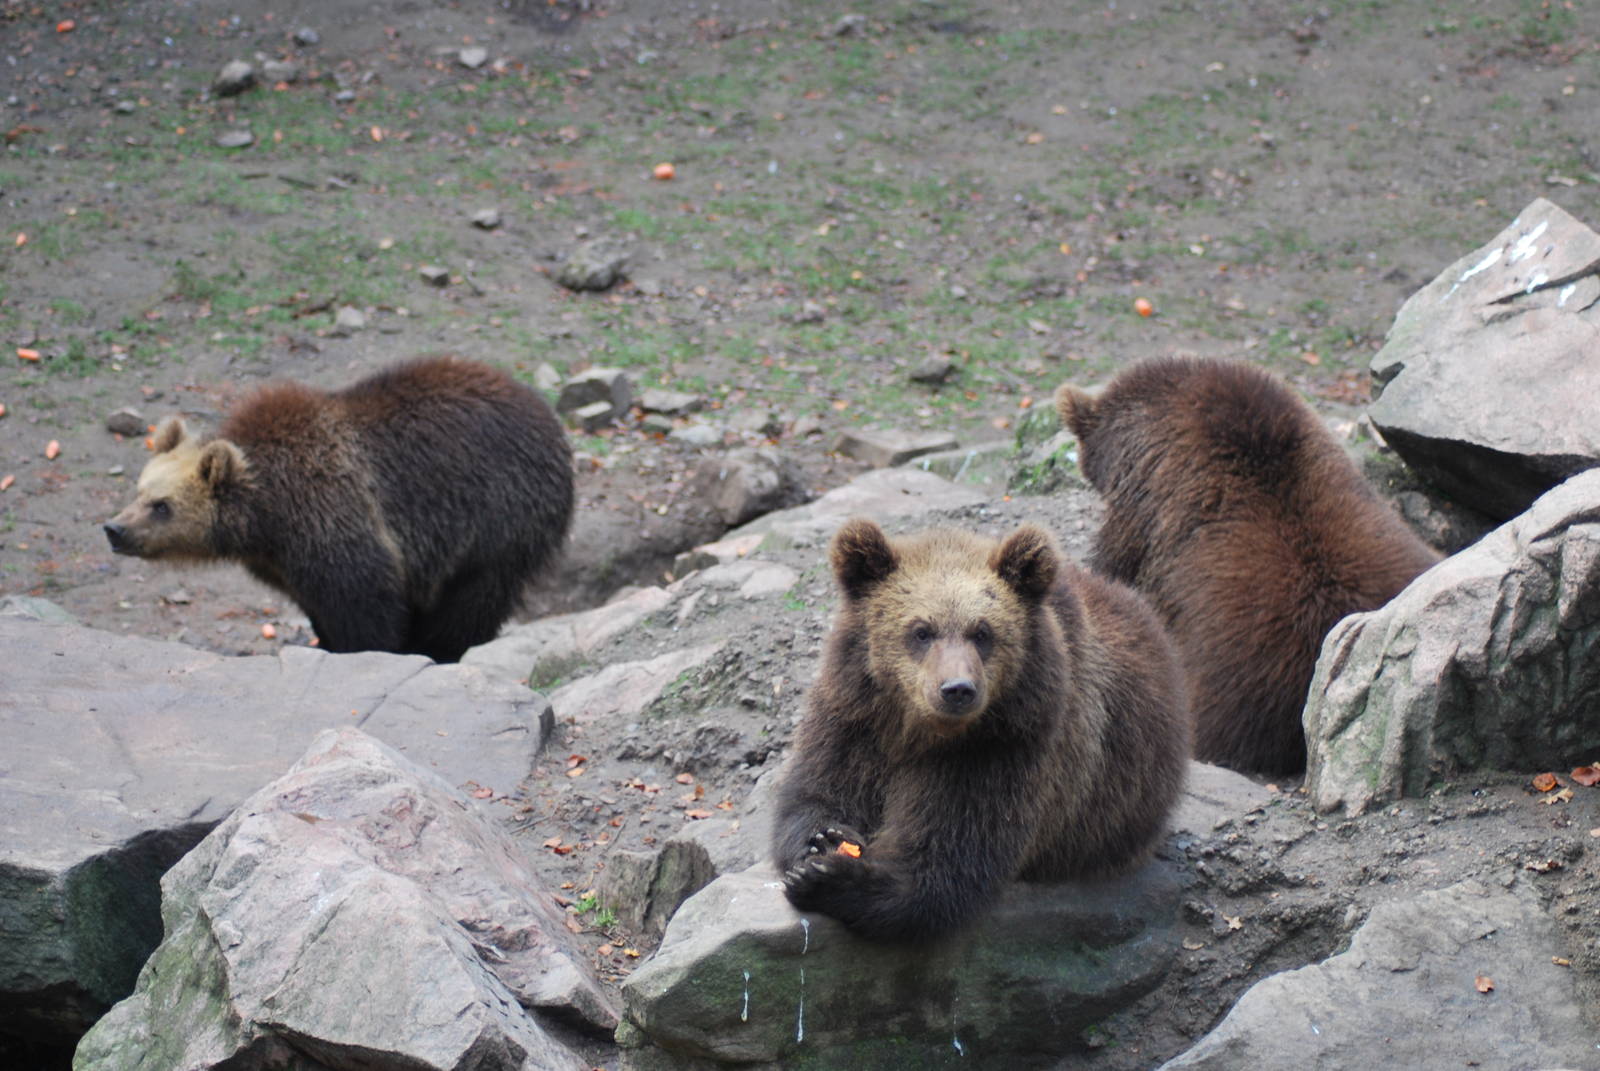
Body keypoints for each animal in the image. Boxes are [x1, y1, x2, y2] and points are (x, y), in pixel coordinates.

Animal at [104, 355, 573, 663]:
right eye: (139, 490)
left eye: (161, 506)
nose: (114, 529)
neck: (266, 514)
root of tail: (544, 413)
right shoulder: (281, 558)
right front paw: (324, 641)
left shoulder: (331, 516)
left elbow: (362, 602)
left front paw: (372, 650)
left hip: (497, 517)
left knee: (472, 597)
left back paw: (440, 648)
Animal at [771, 518, 1189, 941]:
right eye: (921, 631)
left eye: (983, 632)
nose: (957, 689)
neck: (918, 733)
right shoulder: (854, 721)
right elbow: (816, 790)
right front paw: (824, 839)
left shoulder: (1003, 750)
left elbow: (948, 858)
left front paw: (832, 878)